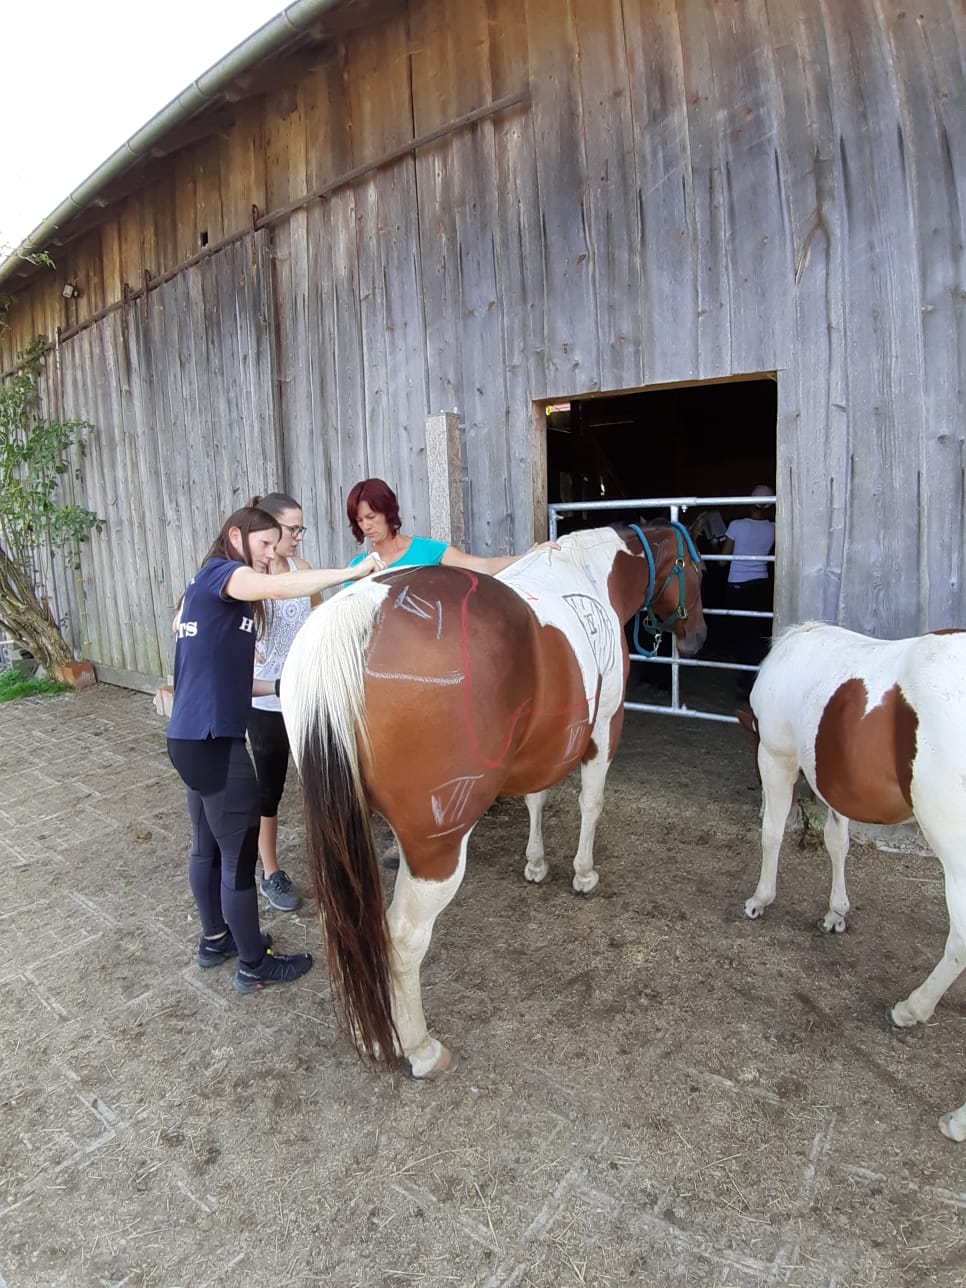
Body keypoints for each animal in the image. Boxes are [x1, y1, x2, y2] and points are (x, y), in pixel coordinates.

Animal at [281, 523, 706, 1078]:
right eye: (699, 568)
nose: (699, 638)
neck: (590, 575)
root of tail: (355, 616)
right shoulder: (604, 729)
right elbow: (591, 803)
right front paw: (583, 874)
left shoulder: (544, 744)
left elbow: (536, 800)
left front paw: (536, 863)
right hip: (436, 851)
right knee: (402, 938)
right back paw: (420, 1050)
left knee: (347, 923)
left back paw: (368, 1033)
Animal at [738, 621, 966, 1142]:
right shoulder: (831, 778)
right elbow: (837, 841)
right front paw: (835, 913)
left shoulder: (778, 757)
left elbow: (773, 831)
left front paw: (762, 898)